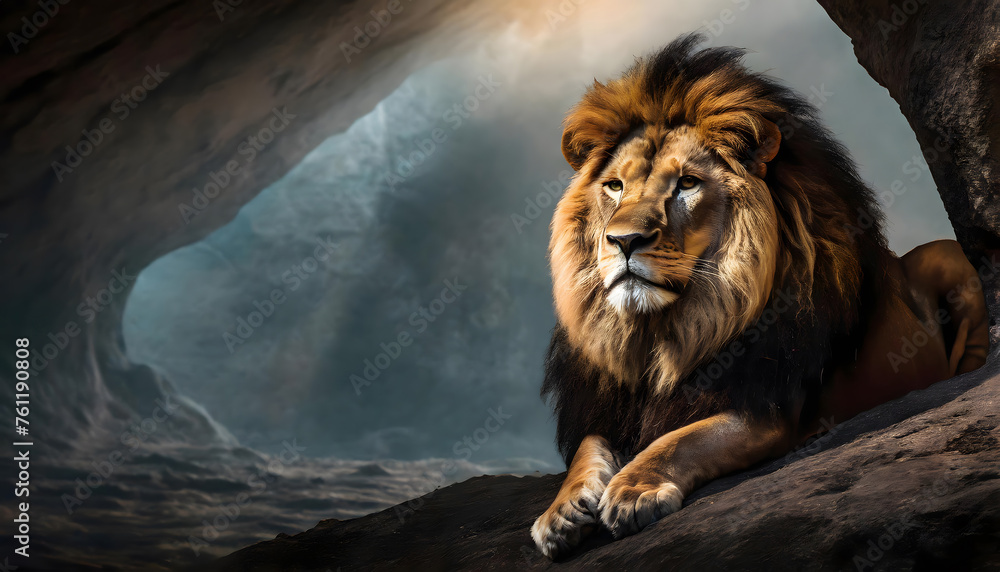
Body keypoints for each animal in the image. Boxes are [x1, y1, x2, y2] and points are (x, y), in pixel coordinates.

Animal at [531, 34, 990, 559]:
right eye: (614, 186)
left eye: (687, 184)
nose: (624, 240)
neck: (665, 330)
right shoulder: (607, 404)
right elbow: (586, 449)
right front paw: (560, 511)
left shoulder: (767, 410)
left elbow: (679, 440)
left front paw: (634, 490)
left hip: (946, 254)